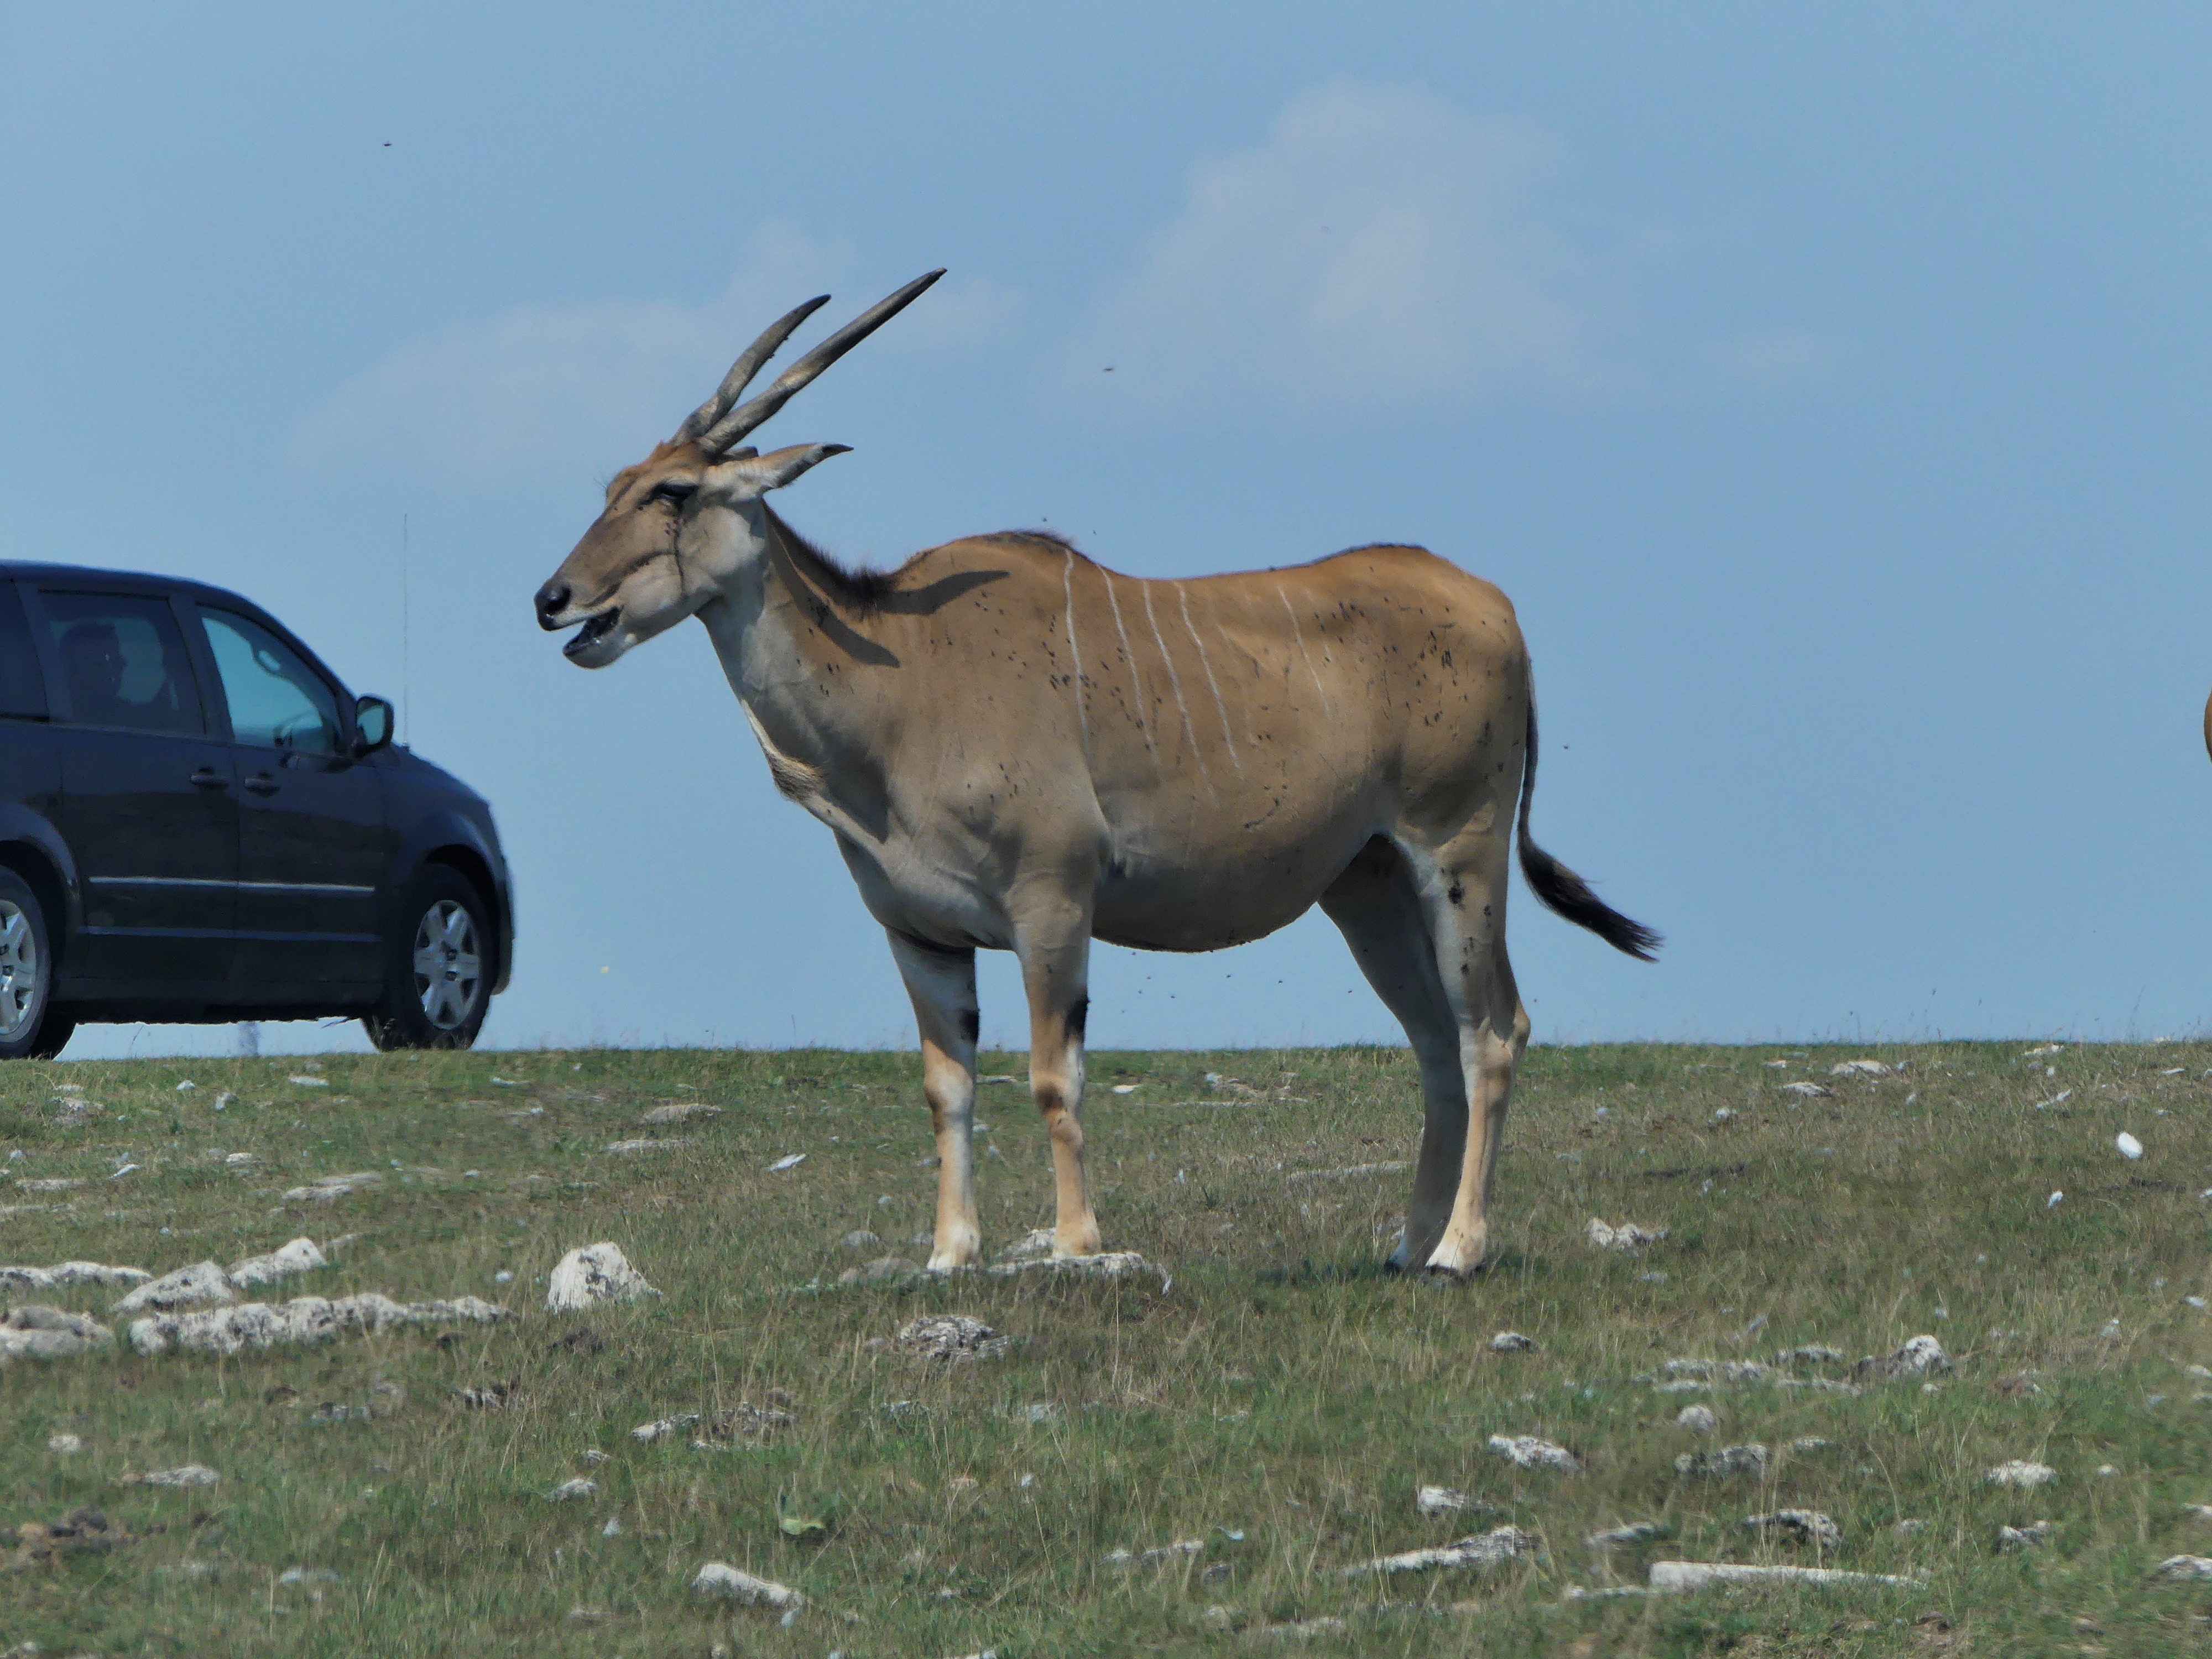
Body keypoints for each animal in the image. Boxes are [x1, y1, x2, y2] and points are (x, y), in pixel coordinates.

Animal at [534, 271, 1658, 1278]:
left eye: (673, 492)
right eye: (613, 487)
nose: (555, 599)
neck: (904, 686)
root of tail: (1495, 606)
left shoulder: (1053, 904)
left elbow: (1051, 1080)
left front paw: (1077, 1242)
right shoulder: (920, 934)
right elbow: (950, 1090)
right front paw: (949, 1254)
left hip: (1460, 855)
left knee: (1493, 1032)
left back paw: (1462, 1250)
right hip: (1367, 887)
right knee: (1434, 1045)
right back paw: (1409, 1243)